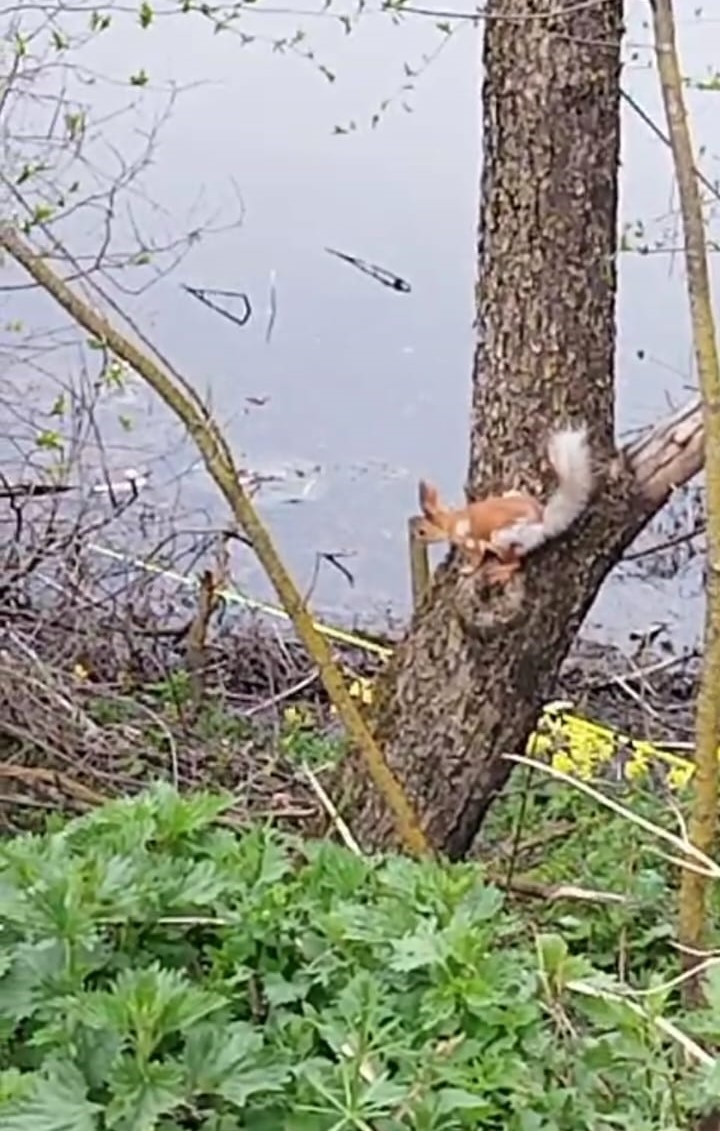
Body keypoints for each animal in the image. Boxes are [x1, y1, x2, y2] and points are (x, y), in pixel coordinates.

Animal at [413, 425, 592, 583]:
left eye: (422, 532)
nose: (416, 541)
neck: (451, 521)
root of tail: (542, 522)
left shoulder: (472, 543)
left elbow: (477, 558)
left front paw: (467, 569)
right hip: (513, 495)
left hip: (502, 537)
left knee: (516, 563)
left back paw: (500, 572)